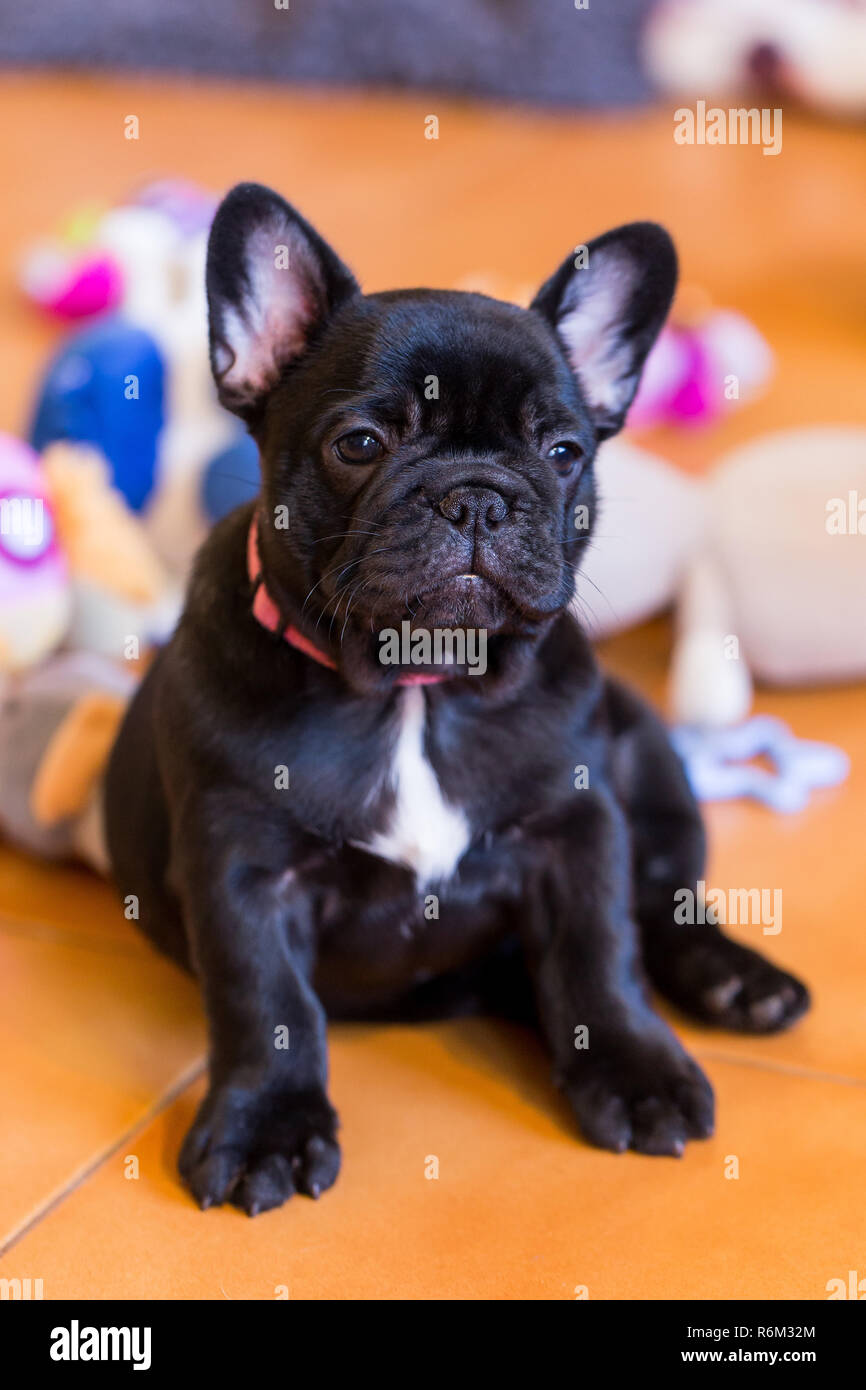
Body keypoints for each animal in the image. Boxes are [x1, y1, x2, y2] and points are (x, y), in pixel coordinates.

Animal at [104, 187, 811, 1217]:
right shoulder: (243, 867)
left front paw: (633, 1070)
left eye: (563, 451)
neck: (418, 690)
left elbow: (601, 956)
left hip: (651, 758)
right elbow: (264, 1000)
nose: (477, 497)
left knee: (666, 902)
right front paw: (267, 1124)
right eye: (361, 444)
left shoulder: (576, 831)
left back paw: (735, 982)